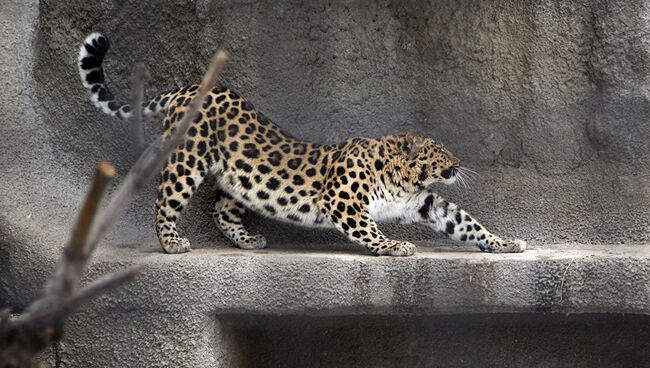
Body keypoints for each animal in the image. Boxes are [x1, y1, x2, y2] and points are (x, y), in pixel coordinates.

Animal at [77, 33, 528, 256]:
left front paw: (505, 243)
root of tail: (188, 88)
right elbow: (369, 229)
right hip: (186, 160)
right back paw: (171, 243)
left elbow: (465, 221)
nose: (460, 161)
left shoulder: (426, 202)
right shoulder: (343, 200)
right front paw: (396, 245)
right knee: (164, 199)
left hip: (238, 179)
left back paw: (248, 241)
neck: (404, 181)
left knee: (223, 210)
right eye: (441, 151)